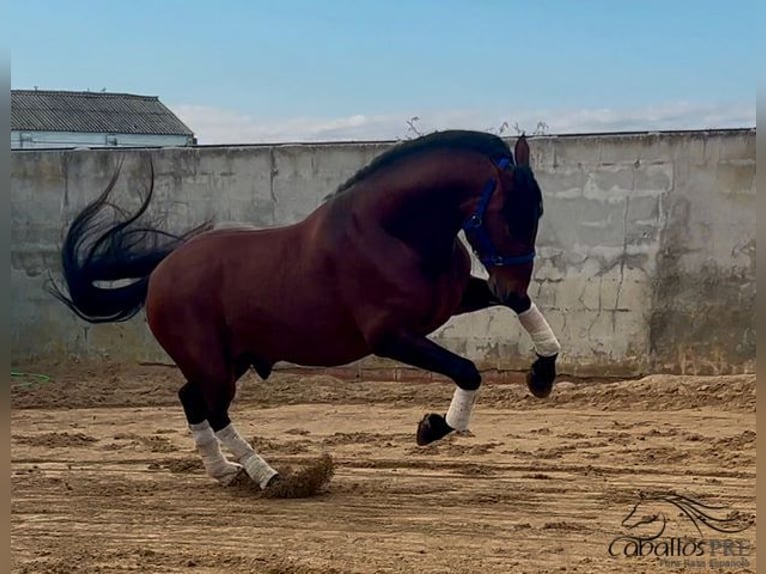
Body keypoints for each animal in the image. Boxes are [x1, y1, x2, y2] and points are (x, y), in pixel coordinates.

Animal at [51, 130, 560, 490]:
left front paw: (542, 374)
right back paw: (267, 475)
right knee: (213, 408)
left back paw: (224, 471)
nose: (511, 280)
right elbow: (468, 370)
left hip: (230, 358)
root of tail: (161, 271)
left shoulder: (456, 299)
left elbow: (525, 310)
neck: (394, 231)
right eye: (507, 214)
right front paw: (433, 427)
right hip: (212, 362)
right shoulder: (390, 335)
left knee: (191, 400)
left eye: (537, 212)